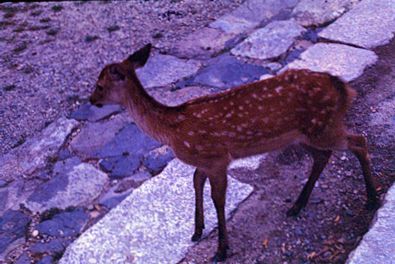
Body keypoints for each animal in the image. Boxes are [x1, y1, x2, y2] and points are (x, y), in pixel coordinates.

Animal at [89, 43, 380, 262]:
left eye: (100, 85)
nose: (92, 101)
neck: (173, 129)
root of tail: (342, 87)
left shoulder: (217, 158)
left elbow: (218, 199)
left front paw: (221, 249)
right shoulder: (206, 161)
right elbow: (196, 181)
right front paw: (197, 231)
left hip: (324, 127)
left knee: (359, 141)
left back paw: (372, 199)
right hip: (305, 134)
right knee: (323, 155)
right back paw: (298, 205)